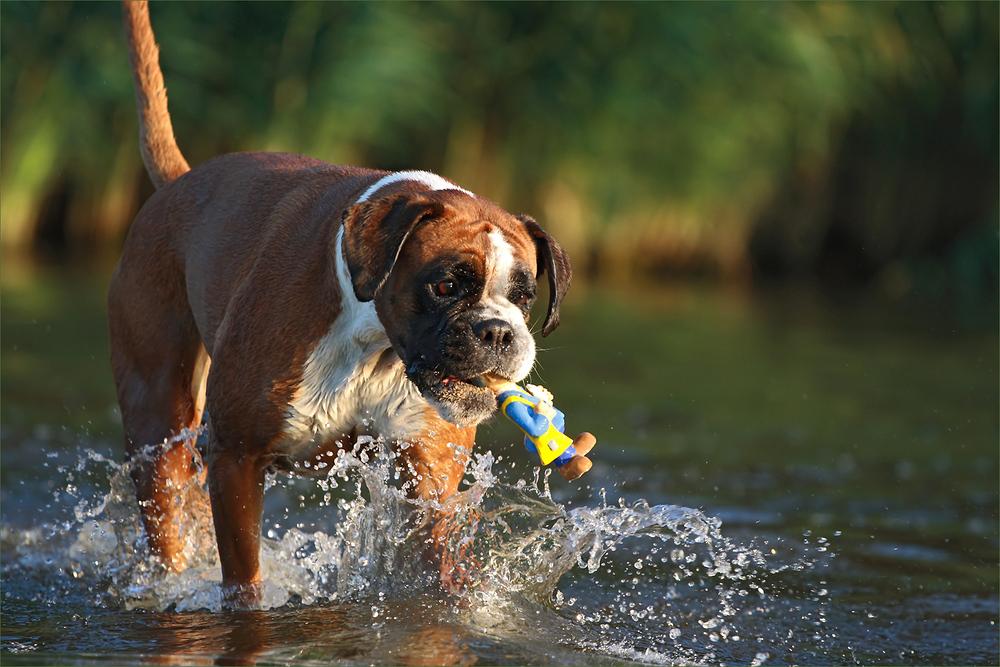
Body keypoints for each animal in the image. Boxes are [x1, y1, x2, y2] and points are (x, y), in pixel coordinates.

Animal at [109, 0, 592, 608]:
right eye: (445, 286)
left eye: (525, 297)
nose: (499, 332)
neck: (371, 339)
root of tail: (179, 181)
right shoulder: (236, 458)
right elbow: (245, 582)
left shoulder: (428, 476)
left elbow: (440, 570)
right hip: (157, 428)